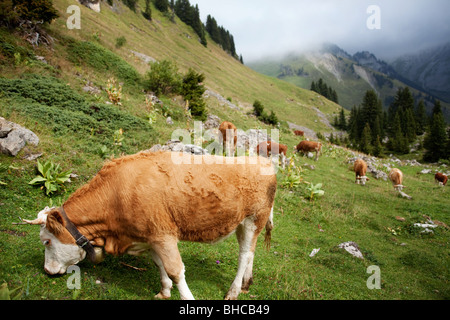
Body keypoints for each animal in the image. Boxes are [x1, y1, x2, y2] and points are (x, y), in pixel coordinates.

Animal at [22, 151, 276, 302]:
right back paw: (246, 283)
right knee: (250, 254)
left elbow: (175, 269)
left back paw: (233, 291)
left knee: (244, 255)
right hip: (244, 224)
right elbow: (159, 264)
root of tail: (263, 160)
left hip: (254, 220)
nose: (47, 270)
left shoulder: (164, 234)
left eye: (46, 241)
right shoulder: (150, 235)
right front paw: (164, 291)